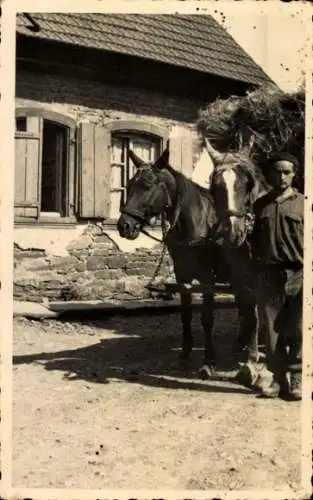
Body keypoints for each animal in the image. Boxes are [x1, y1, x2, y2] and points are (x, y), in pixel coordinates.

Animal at [117, 146, 258, 376]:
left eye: (147, 186)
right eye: (128, 186)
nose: (125, 226)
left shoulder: (207, 280)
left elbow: (207, 318)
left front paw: (208, 362)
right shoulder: (182, 277)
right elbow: (185, 315)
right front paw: (185, 355)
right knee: (245, 307)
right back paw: (241, 344)